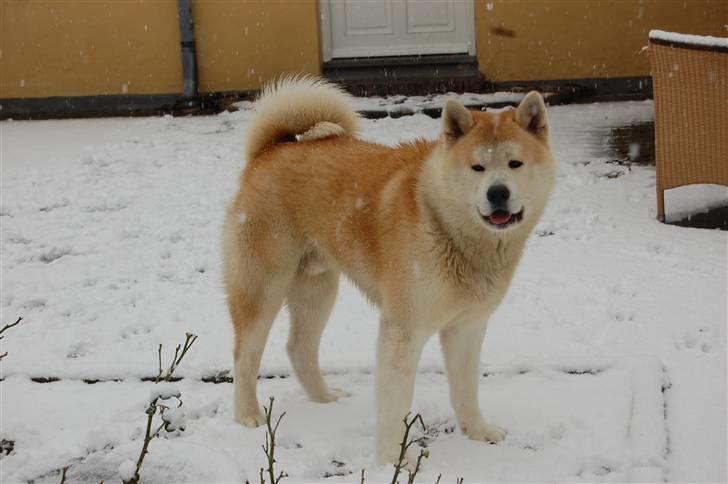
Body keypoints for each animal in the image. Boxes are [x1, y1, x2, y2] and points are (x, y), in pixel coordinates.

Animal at [222, 75, 556, 466]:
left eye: (515, 163)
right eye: (478, 168)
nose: (498, 193)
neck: (444, 223)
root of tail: (269, 151)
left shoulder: (467, 328)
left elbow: (465, 389)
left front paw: (477, 432)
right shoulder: (402, 332)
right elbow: (394, 406)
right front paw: (391, 463)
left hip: (317, 290)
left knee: (299, 347)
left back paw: (324, 398)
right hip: (263, 289)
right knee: (245, 355)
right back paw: (247, 414)